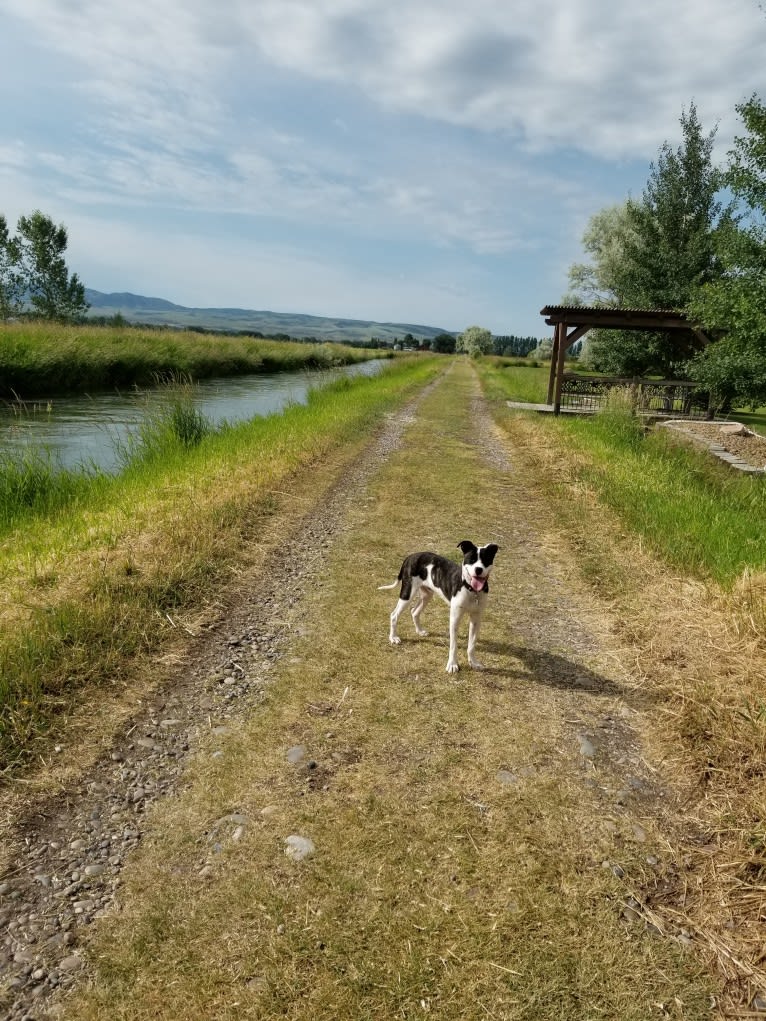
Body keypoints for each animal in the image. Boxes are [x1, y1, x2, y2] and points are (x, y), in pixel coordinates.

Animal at [379, 539, 500, 673]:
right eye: (471, 559)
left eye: (486, 560)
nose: (478, 569)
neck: (472, 590)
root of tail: (410, 556)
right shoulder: (455, 619)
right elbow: (453, 645)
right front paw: (452, 665)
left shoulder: (476, 619)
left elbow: (472, 645)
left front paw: (473, 663)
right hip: (408, 593)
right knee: (394, 615)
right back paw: (393, 637)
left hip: (426, 595)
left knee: (414, 611)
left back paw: (419, 631)